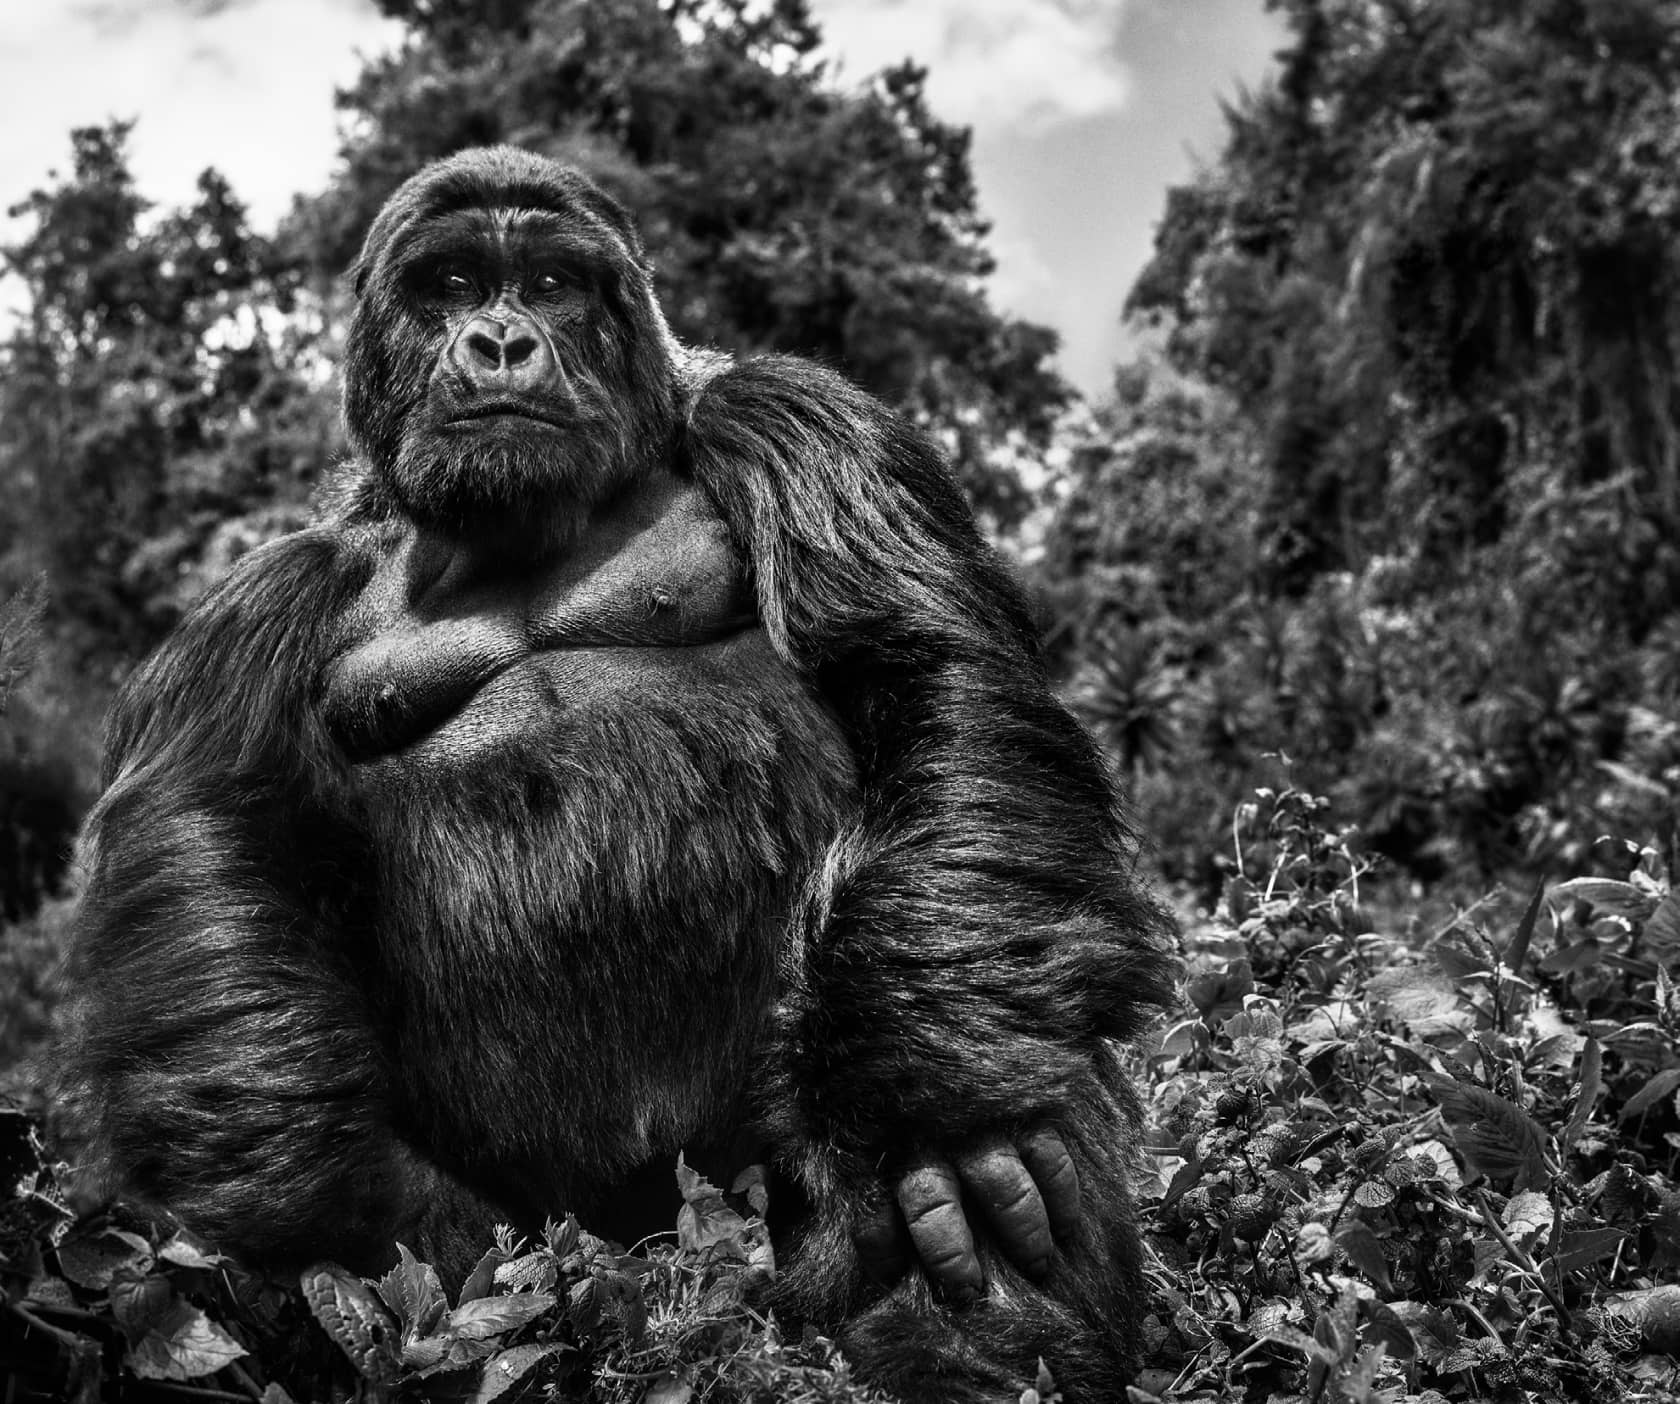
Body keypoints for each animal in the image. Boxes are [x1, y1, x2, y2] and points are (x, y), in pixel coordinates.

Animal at [62, 147, 1169, 1397]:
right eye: (450, 284)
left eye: (550, 282)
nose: (499, 342)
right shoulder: (272, 591)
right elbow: (218, 838)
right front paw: (364, 1217)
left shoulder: (796, 414)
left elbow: (920, 667)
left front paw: (934, 1103)